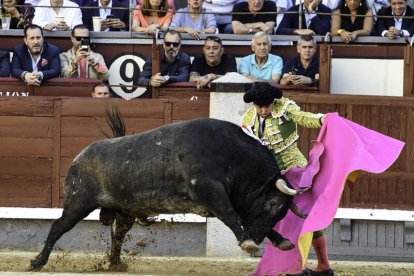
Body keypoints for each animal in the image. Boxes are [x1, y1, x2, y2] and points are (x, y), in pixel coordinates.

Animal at [28, 118, 300, 270]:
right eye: (272, 203)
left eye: (282, 212)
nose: (257, 238)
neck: (233, 155)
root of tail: (79, 157)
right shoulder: (211, 191)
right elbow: (232, 216)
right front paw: (246, 242)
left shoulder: (233, 198)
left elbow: (242, 217)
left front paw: (281, 241)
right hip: (78, 202)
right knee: (58, 227)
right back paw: (37, 262)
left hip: (124, 211)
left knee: (117, 235)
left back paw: (115, 264)